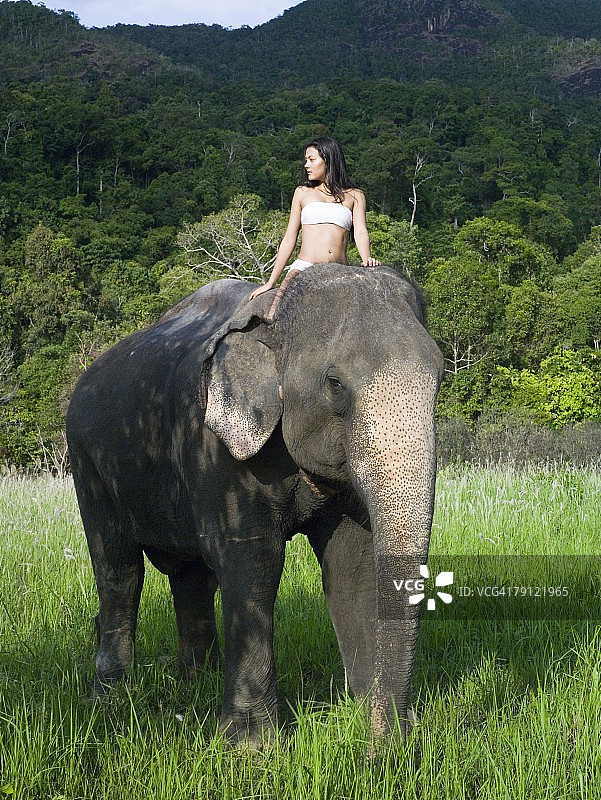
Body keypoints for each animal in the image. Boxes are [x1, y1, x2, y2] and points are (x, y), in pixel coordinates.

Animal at [66, 263, 444, 747]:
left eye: (441, 379)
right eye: (335, 385)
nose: (393, 739)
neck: (273, 318)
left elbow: (352, 564)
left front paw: (370, 725)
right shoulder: (216, 445)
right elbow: (252, 560)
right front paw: (251, 747)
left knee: (191, 576)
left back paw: (197, 682)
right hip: (88, 462)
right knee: (119, 571)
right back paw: (111, 697)